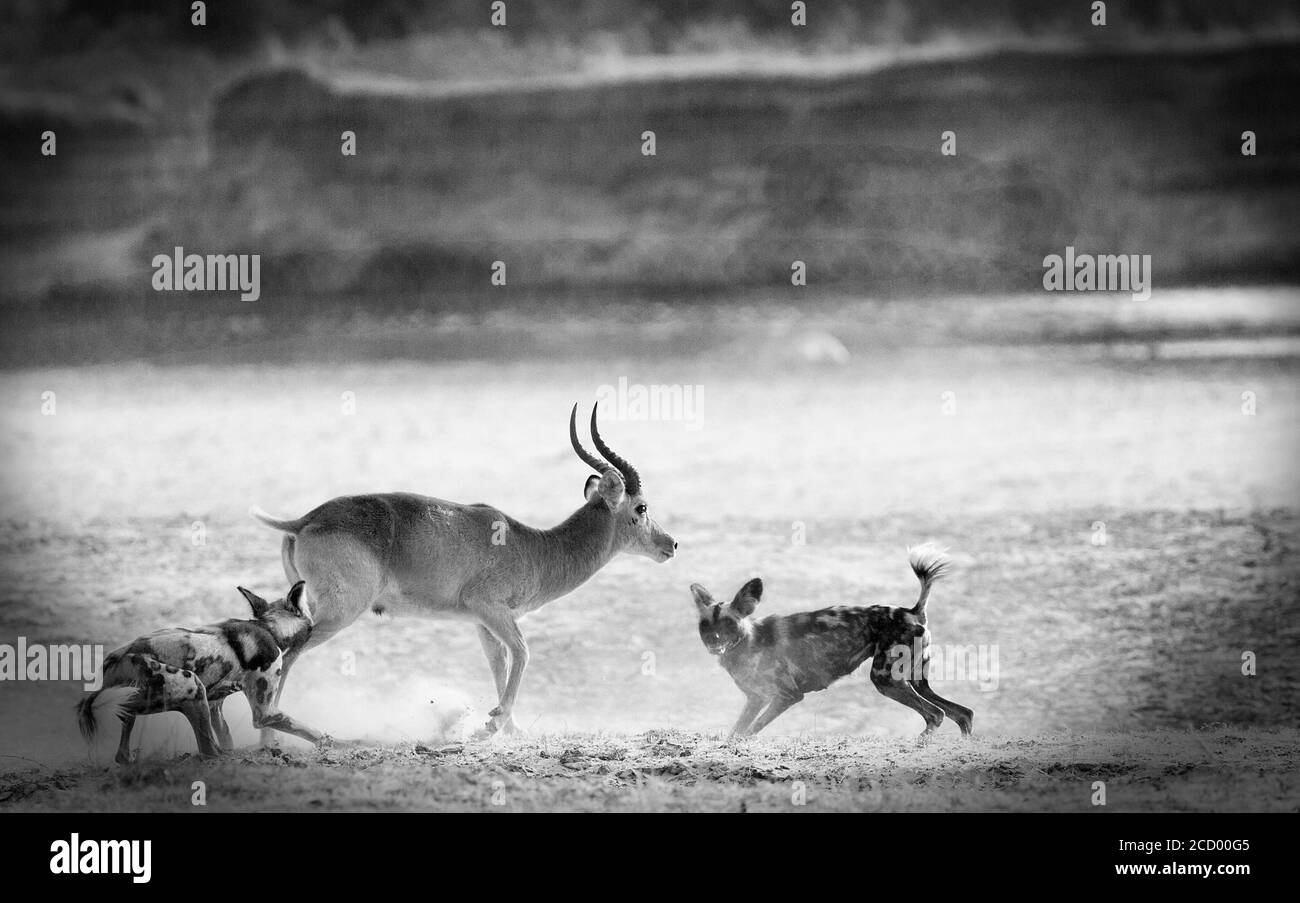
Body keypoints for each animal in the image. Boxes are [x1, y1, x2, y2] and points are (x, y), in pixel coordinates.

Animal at [75, 579, 325, 763]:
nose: (317, 626)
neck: (269, 628)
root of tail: (120, 657)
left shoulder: (215, 707)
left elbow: (226, 738)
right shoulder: (266, 713)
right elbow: (313, 731)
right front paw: (331, 744)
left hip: (155, 699)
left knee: (124, 723)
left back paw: (128, 761)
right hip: (193, 688)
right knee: (207, 752)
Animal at [245, 405, 681, 737]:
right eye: (641, 507)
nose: (672, 544)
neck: (535, 549)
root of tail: (306, 520)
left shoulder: (482, 623)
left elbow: (499, 662)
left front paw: (509, 730)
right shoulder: (491, 608)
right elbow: (523, 652)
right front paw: (493, 724)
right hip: (339, 612)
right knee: (291, 654)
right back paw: (273, 737)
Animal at [691, 548, 977, 737]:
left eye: (728, 624)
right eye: (705, 625)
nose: (714, 640)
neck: (748, 644)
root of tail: (912, 611)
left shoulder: (787, 696)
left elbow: (750, 732)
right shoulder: (756, 699)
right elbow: (736, 732)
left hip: (886, 680)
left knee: (936, 715)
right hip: (916, 681)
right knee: (962, 714)